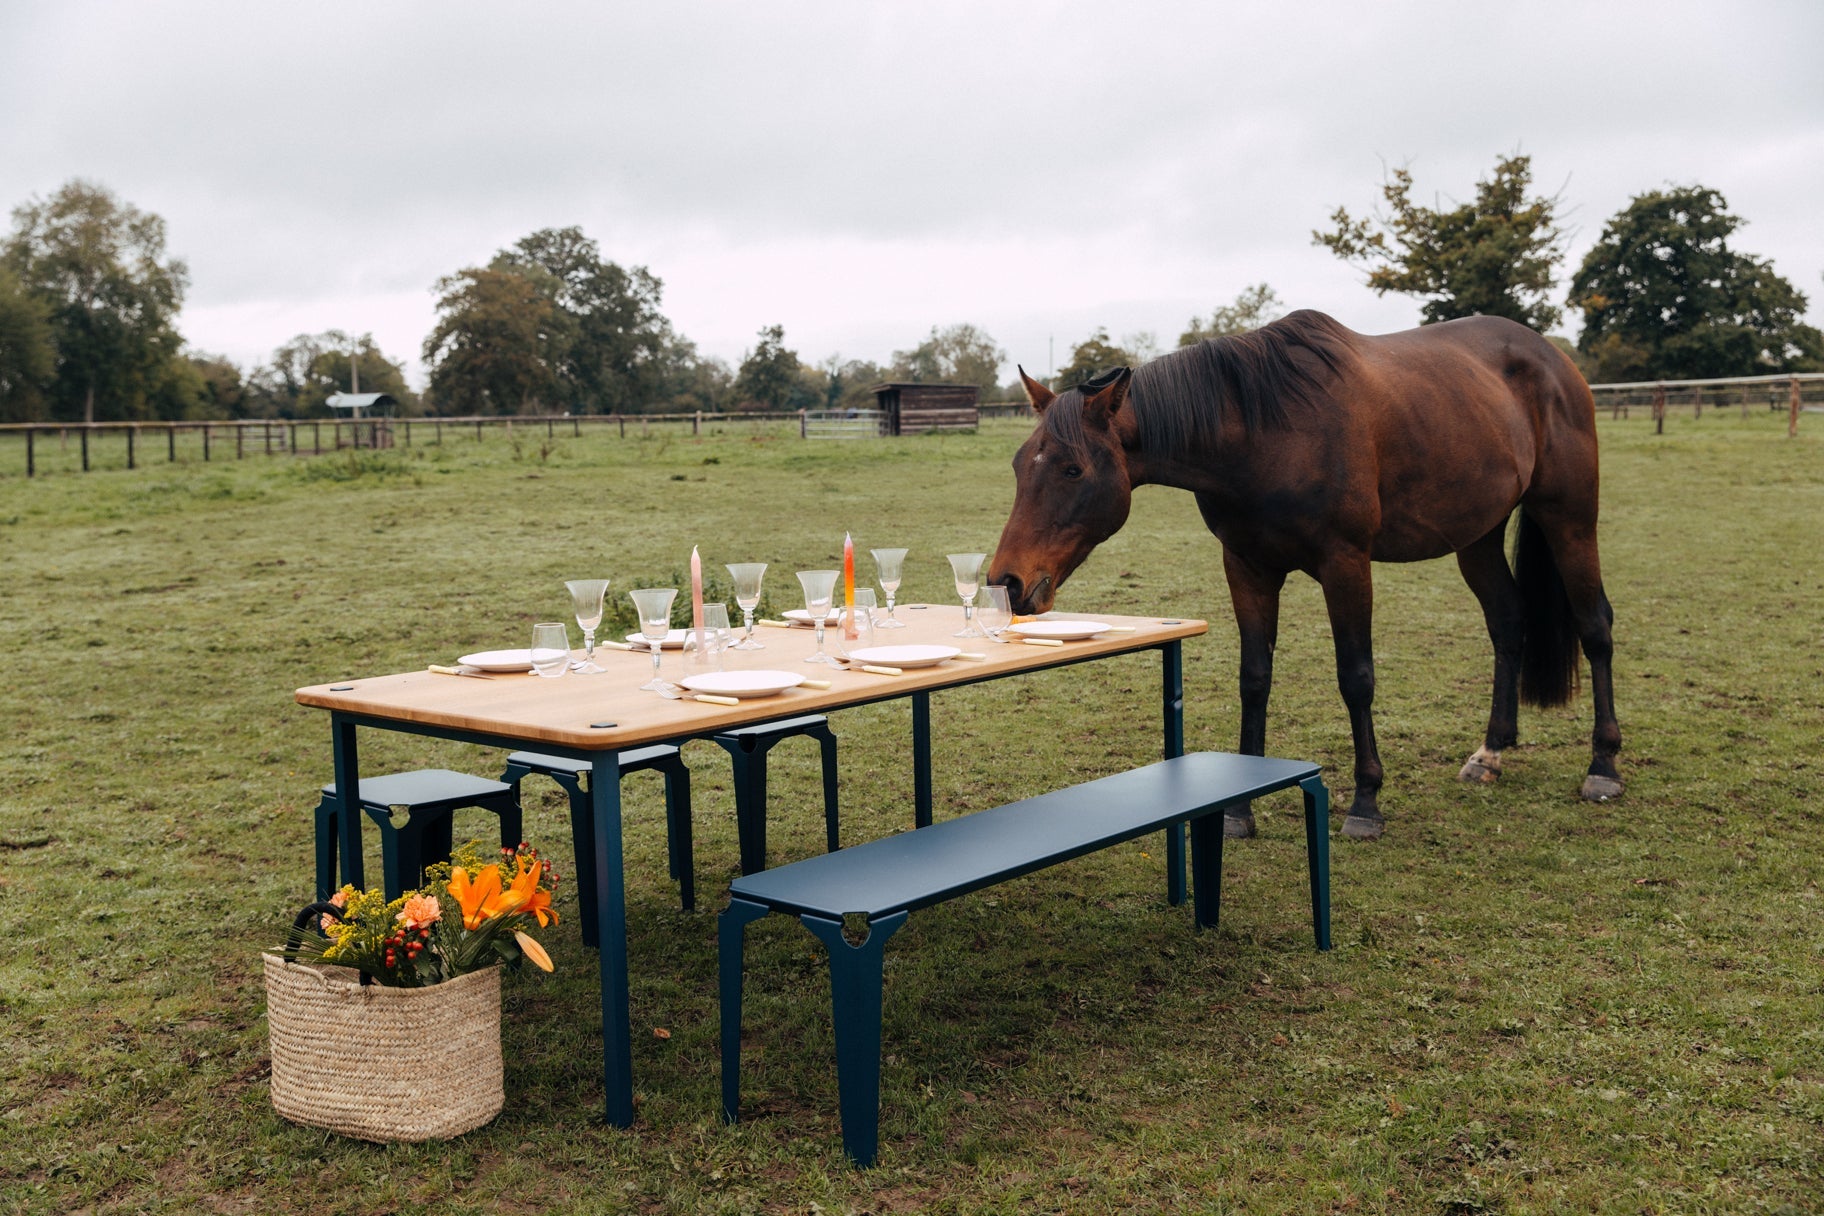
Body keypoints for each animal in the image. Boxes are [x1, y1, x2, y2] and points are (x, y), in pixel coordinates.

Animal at [999, 313, 1627, 842]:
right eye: (1018, 465)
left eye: (1073, 468)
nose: (1008, 582)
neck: (1264, 433)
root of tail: (1551, 357)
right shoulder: (1246, 568)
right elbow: (1254, 679)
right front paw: (1238, 809)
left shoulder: (1345, 564)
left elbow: (1356, 677)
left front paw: (1366, 802)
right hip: (1477, 536)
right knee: (1508, 623)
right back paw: (1490, 752)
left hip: (1569, 518)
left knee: (1595, 626)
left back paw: (1603, 766)